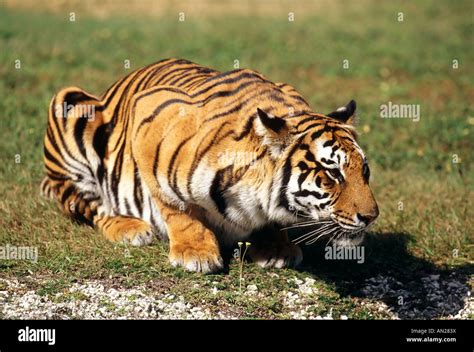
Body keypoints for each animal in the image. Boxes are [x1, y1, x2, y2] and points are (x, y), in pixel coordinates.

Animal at [42, 57, 380, 272]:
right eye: (332, 174)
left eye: (364, 171)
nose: (371, 217)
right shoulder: (149, 116)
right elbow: (175, 206)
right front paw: (196, 252)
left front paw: (275, 248)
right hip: (69, 102)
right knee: (89, 205)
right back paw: (129, 228)